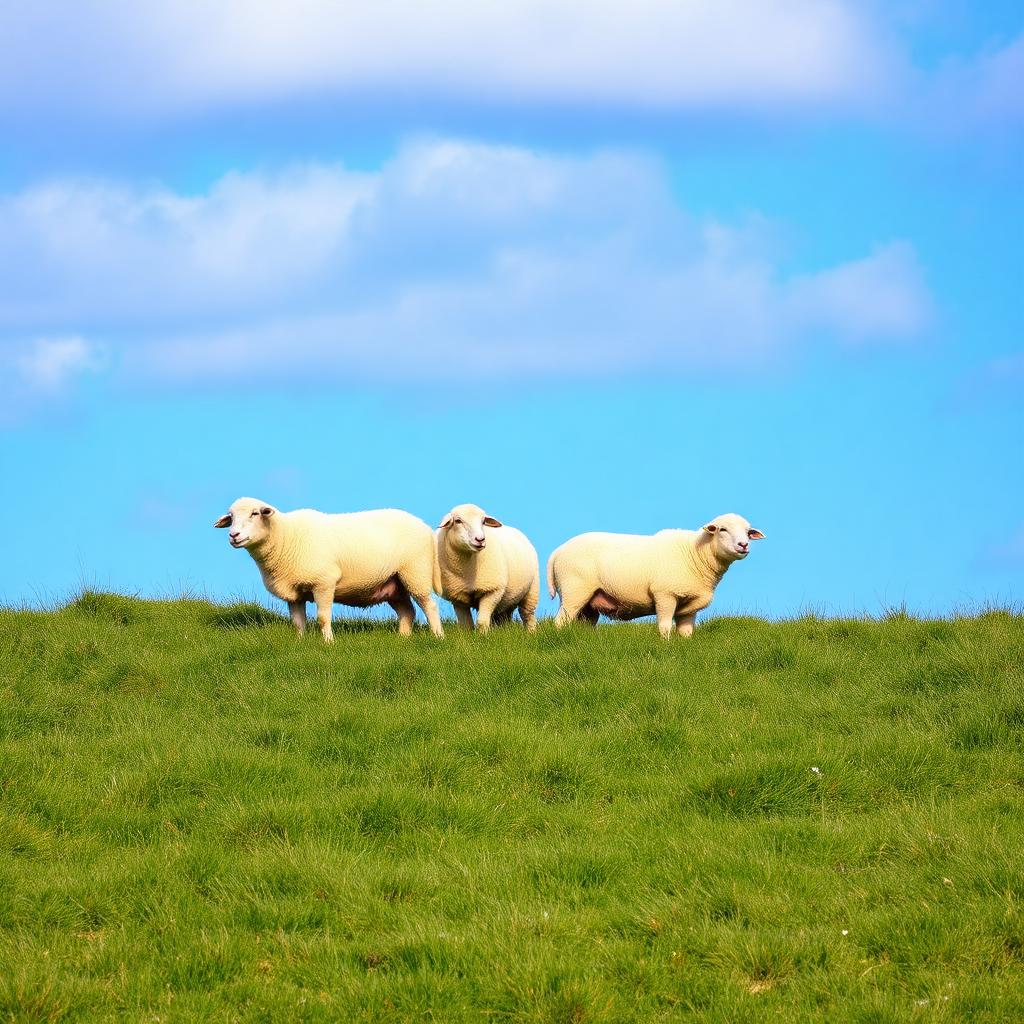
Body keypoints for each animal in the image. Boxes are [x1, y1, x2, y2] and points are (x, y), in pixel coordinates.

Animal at [214, 497, 444, 642]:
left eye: (255, 513)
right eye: (231, 517)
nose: (233, 535)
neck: (286, 537)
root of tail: (424, 527)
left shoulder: (324, 582)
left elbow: (323, 617)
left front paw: (328, 642)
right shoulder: (294, 593)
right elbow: (298, 622)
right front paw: (300, 642)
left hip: (415, 572)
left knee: (429, 606)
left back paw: (438, 636)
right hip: (394, 582)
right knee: (407, 611)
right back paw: (402, 638)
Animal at [435, 503, 540, 633]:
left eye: (483, 521)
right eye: (458, 521)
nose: (480, 539)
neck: (467, 572)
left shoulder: (492, 591)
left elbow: (481, 621)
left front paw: (483, 635)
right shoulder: (458, 597)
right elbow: (466, 625)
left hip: (532, 589)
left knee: (527, 614)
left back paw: (532, 632)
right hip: (508, 599)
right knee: (505, 616)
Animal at [547, 512, 764, 639]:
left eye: (748, 532)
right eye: (722, 529)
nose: (743, 545)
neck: (695, 554)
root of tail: (557, 551)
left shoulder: (689, 606)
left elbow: (686, 632)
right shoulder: (665, 594)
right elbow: (665, 626)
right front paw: (665, 645)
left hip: (591, 602)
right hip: (575, 589)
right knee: (561, 621)